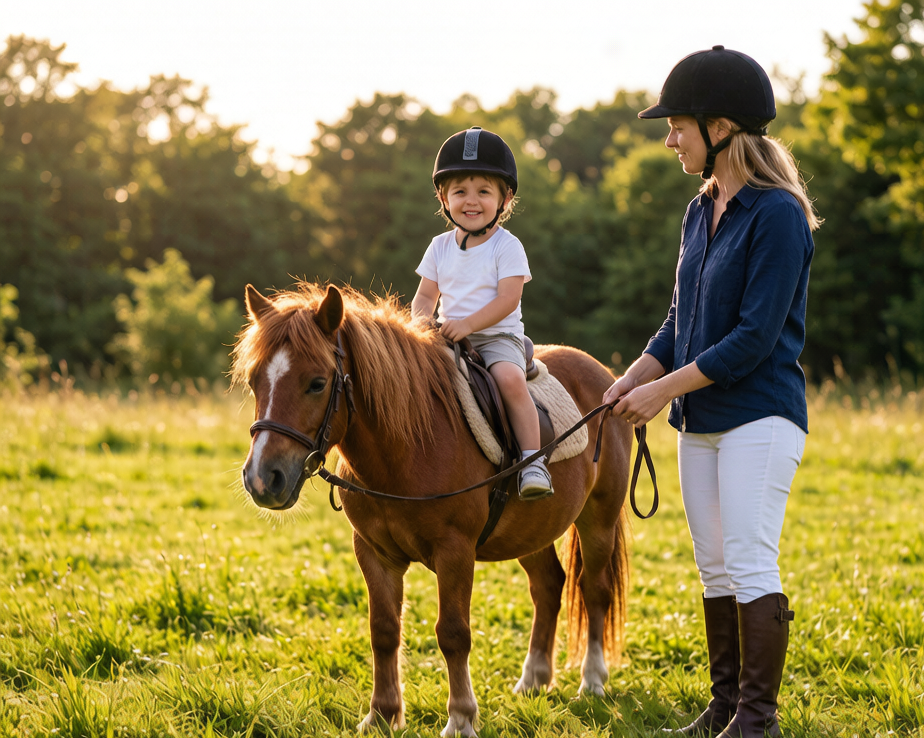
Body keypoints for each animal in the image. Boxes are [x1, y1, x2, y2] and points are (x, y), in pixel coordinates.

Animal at [231, 281, 633, 737]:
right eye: (254, 381)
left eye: (317, 383)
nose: (263, 478)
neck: (407, 446)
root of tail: (607, 380)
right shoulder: (374, 552)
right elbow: (383, 630)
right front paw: (382, 714)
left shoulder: (454, 552)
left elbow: (453, 634)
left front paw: (461, 717)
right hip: (532, 530)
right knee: (549, 586)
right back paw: (533, 679)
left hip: (599, 519)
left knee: (595, 589)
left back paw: (593, 680)